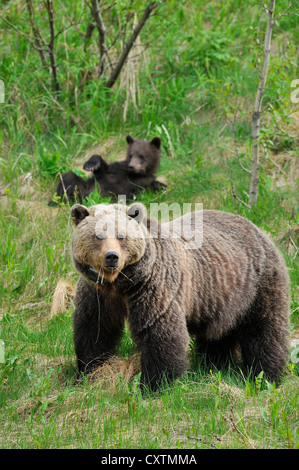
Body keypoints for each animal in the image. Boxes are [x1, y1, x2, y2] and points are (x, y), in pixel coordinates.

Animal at [70, 202, 290, 390]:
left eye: (122, 236)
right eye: (98, 236)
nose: (112, 257)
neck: (121, 284)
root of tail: (257, 228)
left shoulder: (153, 287)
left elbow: (160, 334)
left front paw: (154, 384)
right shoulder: (98, 294)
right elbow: (95, 329)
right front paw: (89, 371)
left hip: (257, 286)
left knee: (263, 330)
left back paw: (264, 375)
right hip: (220, 298)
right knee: (218, 336)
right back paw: (215, 364)